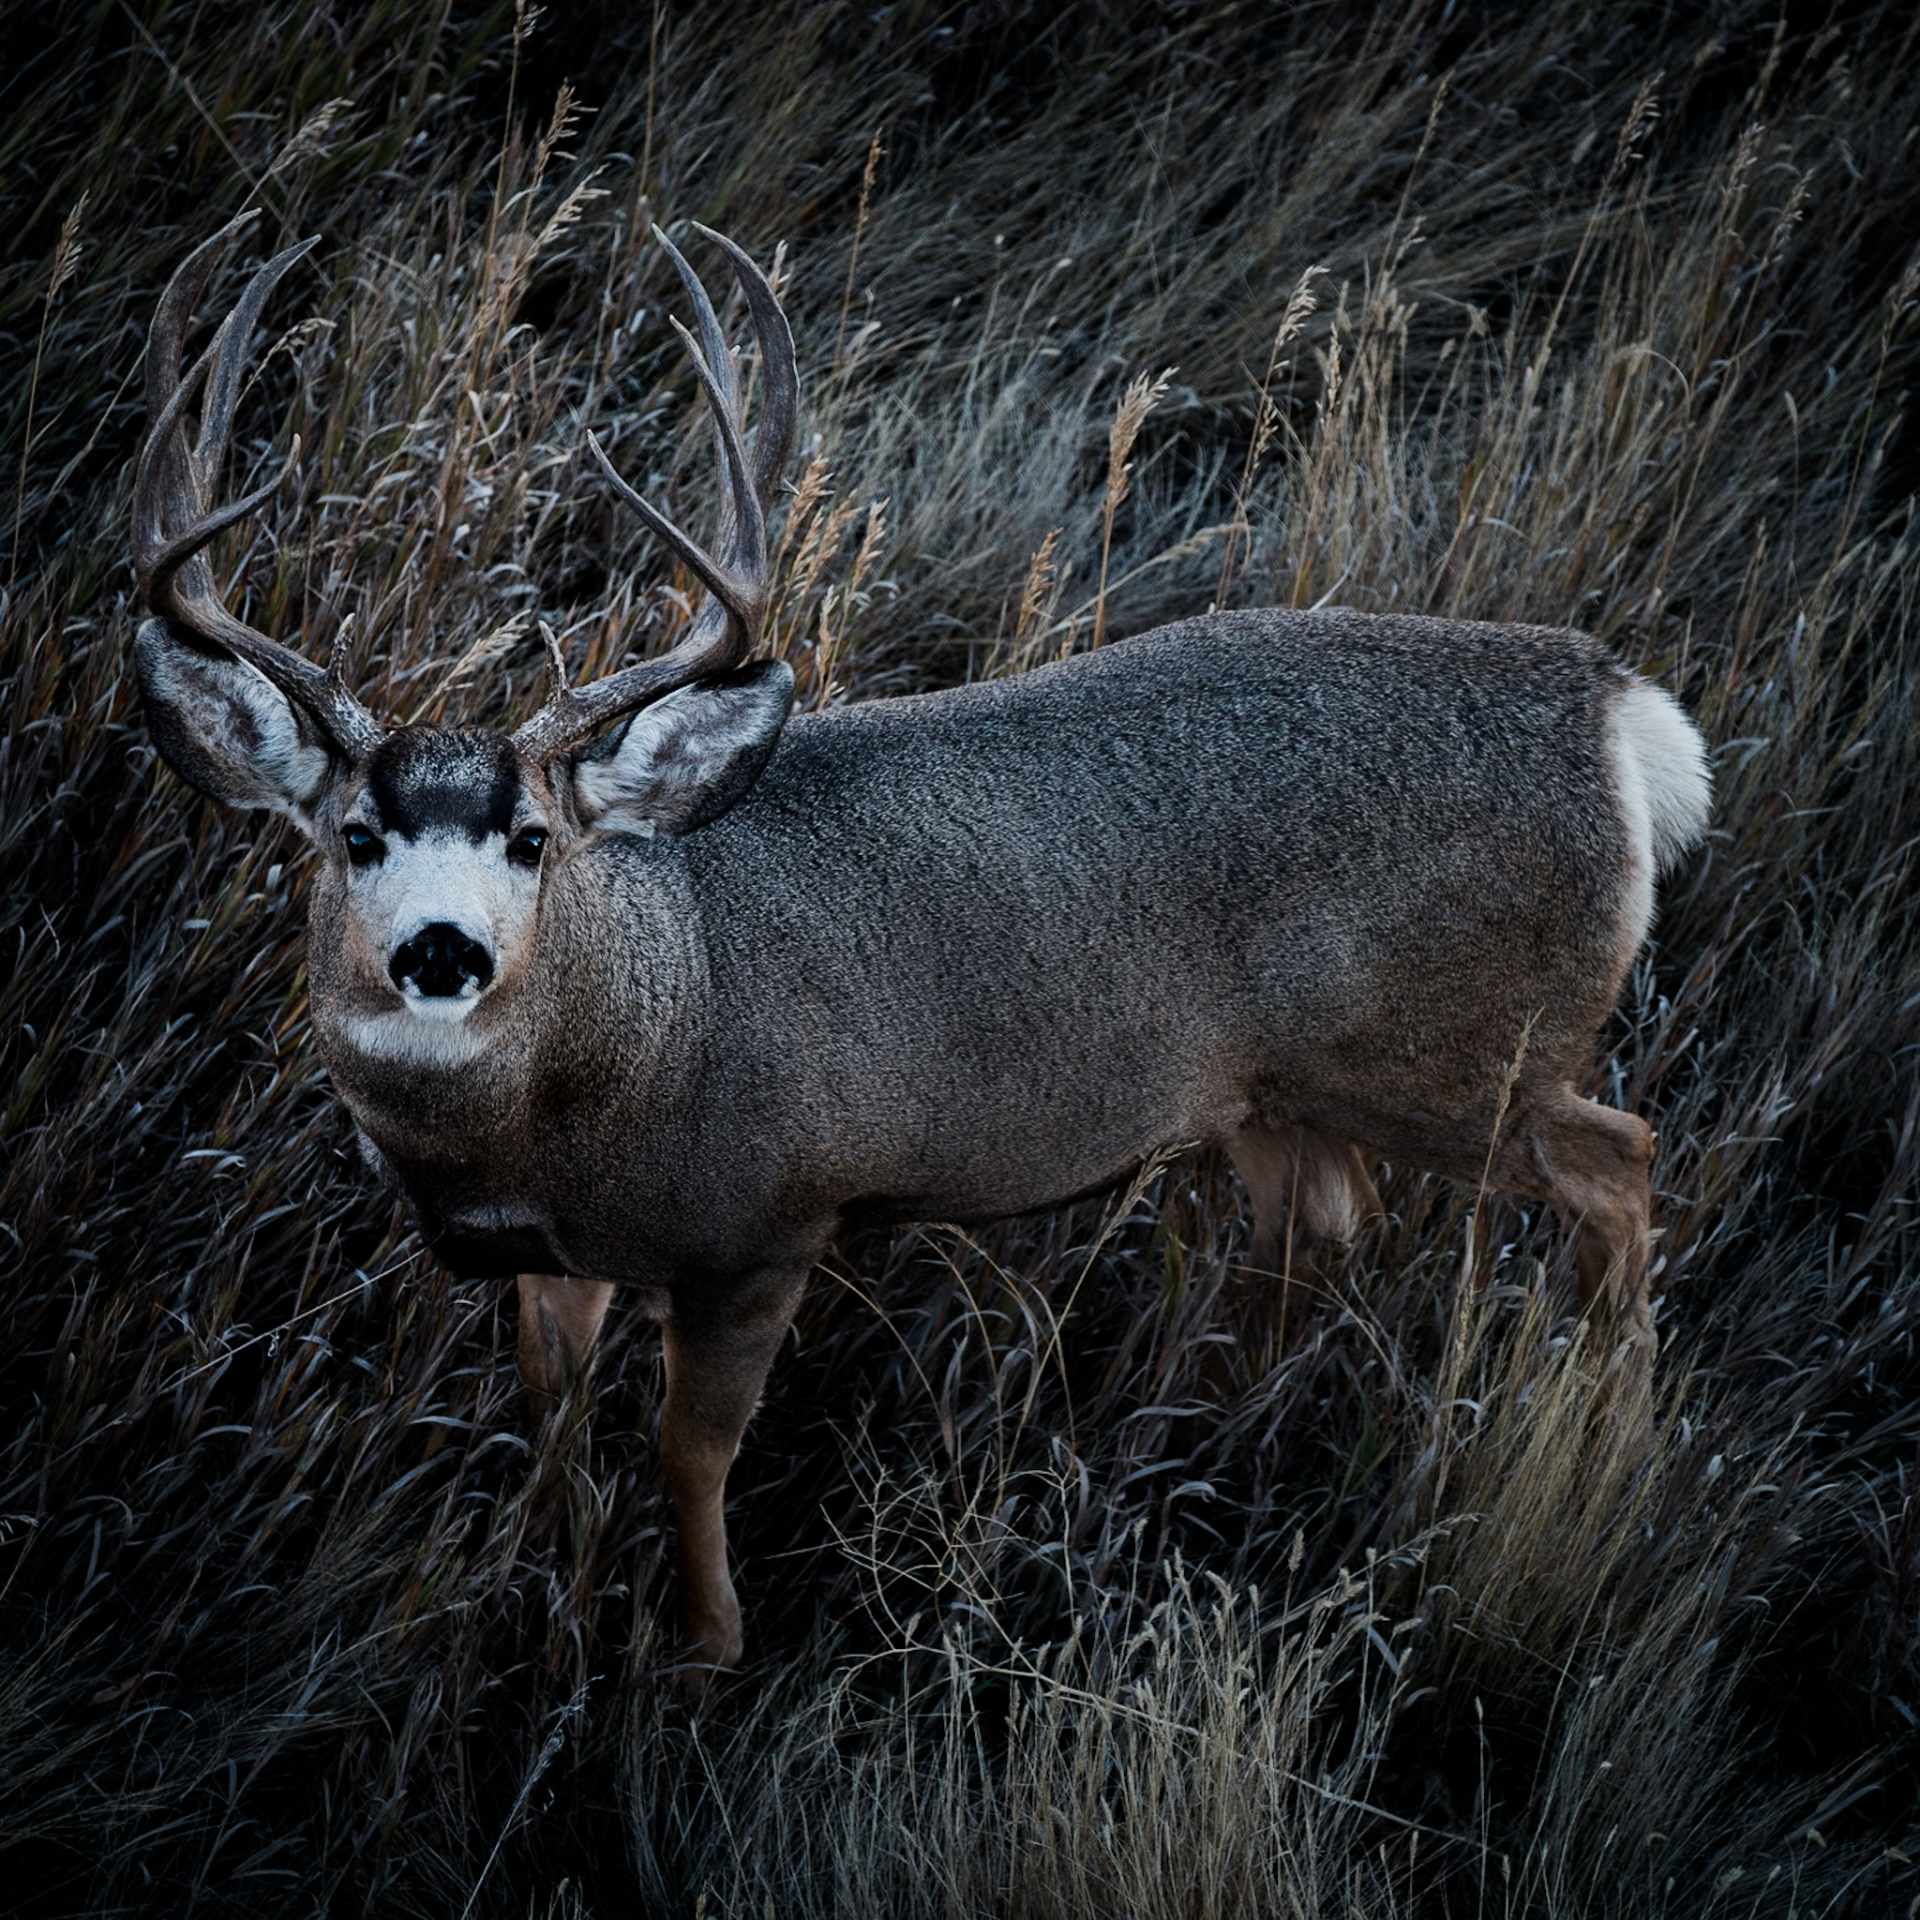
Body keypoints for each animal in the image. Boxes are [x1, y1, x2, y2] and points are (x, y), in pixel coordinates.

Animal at [131, 208, 1711, 1686]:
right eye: (355, 837)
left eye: (532, 840)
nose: (444, 952)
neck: (635, 1031)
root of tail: (1619, 715)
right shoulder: (551, 1255)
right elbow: (555, 1427)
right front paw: (553, 1603)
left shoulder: (770, 1217)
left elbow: (689, 1451)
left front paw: (705, 1650)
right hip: (1283, 1090)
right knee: (1327, 1220)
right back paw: (1214, 1440)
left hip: (1466, 1051)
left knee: (1617, 1159)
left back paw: (1619, 1455)